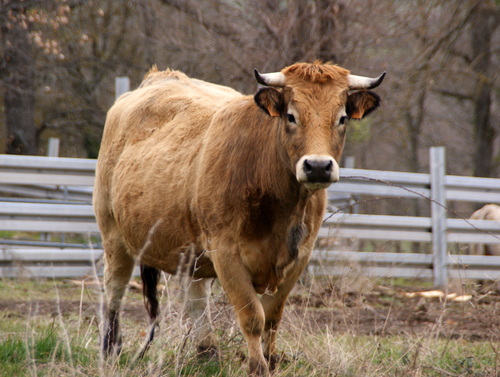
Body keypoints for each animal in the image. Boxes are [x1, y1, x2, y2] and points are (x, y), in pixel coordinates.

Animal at [92, 60, 384, 374]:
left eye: (342, 118)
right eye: (291, 116)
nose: (317, 166)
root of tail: (158, 78)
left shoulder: (300, 256)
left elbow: (272, 317)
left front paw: (271, 362)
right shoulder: (226, 253)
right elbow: (253, 317)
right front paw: (257, 367)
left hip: (190, 250)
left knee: (196, 299)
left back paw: (207, 354)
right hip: (114, 236)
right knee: (114, 292)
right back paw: (110, 350)